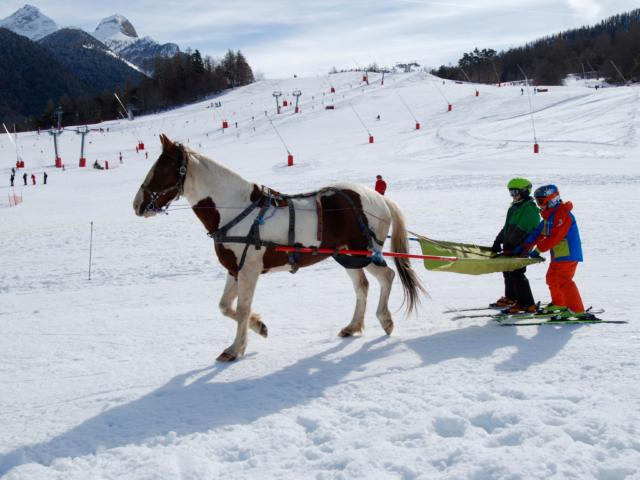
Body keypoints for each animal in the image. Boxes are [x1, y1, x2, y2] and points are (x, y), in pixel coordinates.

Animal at [133, 134, 424, 360]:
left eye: (161, 169)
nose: (137, 205)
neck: (236, 209)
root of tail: (378, 198)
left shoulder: (249, 270)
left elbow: (242, 308)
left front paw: (235, 348)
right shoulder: (234, 269)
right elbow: (225, 306)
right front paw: (259, 326)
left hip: (364, 252)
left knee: (387, 276)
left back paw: (385, 319)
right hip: (346, 256)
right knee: (362, 286)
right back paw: (353, 326)